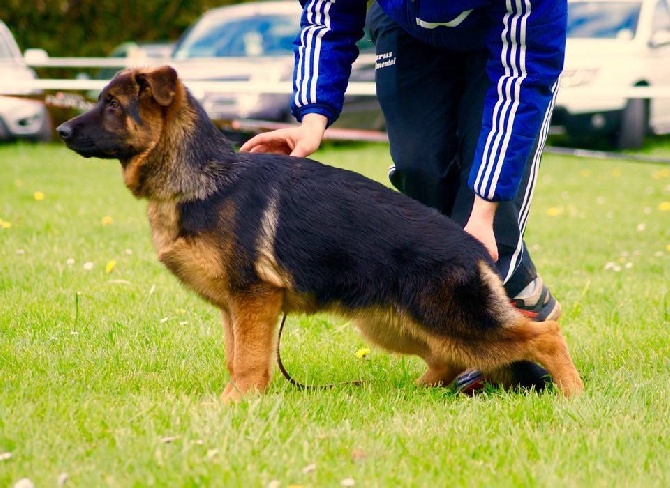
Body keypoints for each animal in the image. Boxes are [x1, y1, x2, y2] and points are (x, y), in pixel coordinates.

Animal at [56, 66, 584, 400]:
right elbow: (236, 357)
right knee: (449, 358)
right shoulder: (236, 308)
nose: (60, 131)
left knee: (544, 334)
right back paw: (410, 394)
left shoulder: (254, 300)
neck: (201, 177)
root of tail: (473, 247)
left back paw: (573, 395)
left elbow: (248, 361)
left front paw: (234, 406)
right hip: (397, 324)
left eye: (111, 105)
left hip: (452, 319)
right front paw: (236, 400)